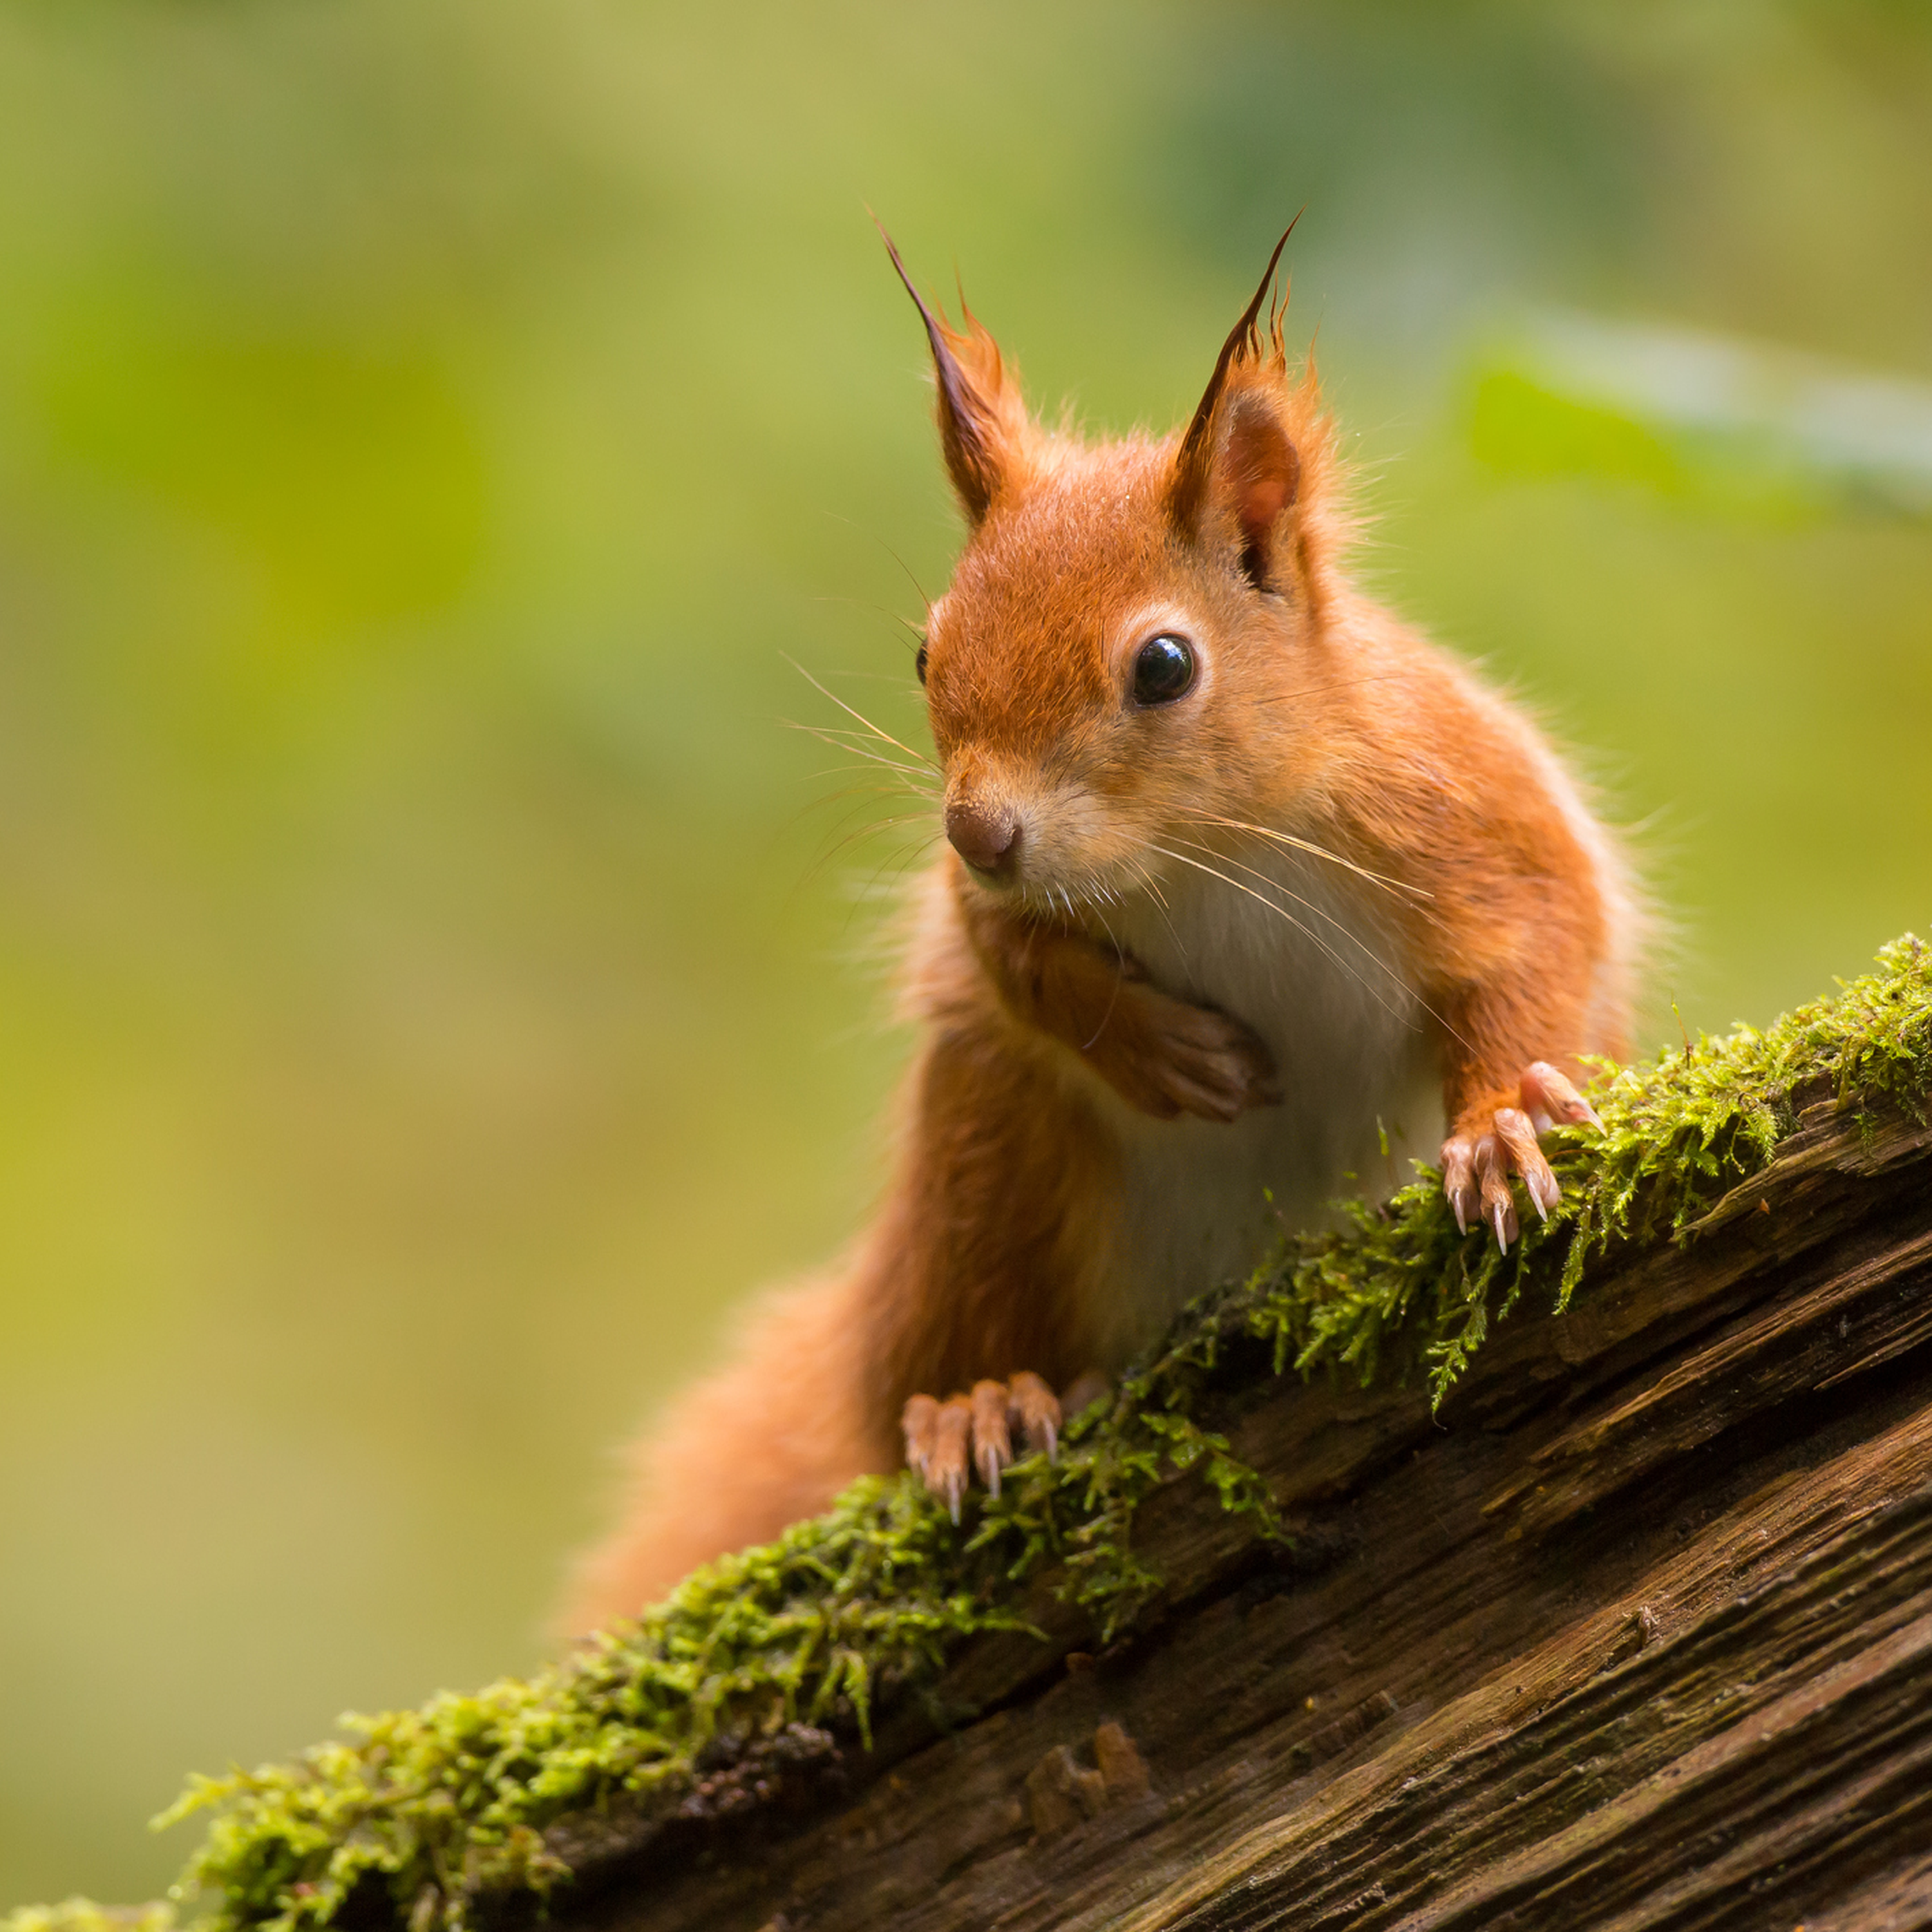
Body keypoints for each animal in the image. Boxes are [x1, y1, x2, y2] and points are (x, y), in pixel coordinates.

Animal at [559, 227, 1637, 1633]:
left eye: (1165, 667)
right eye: (928, 652)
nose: (980, 831)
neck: (1201, 855)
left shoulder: (1464, 809)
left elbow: (1538, 937)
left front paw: (1505, 1126)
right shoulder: (985, 914)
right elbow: (1011, 963)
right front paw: (1154, 1047)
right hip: (988, 1163)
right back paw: (976, 1403)